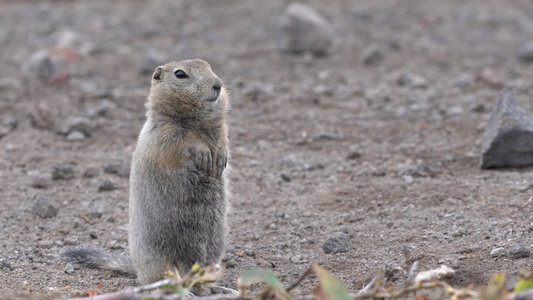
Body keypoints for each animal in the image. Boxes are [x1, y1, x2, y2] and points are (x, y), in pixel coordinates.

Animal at [60, 58, 231, 284]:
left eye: (208, 65)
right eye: (180, 74)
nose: (218, 85)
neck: (197, 121)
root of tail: (138, 271)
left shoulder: (219, 127)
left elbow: (223, 135)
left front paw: (221, 155)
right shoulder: (165, 132)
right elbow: (183, 141)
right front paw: (203, 151)